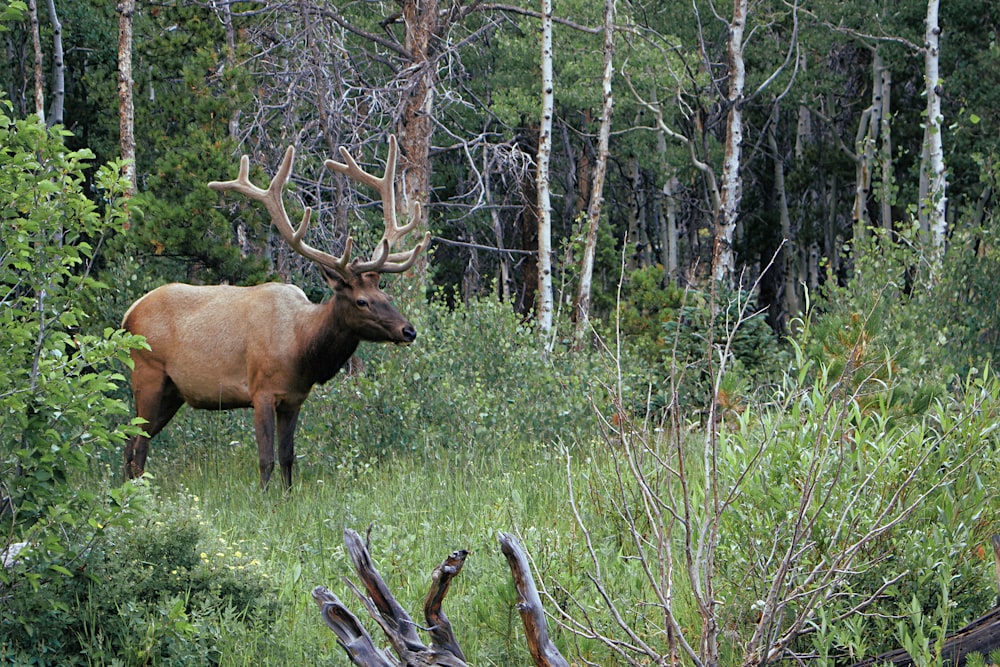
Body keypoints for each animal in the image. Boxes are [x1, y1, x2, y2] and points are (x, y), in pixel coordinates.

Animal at [121, 137, 430, 490]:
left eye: (384, 294)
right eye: (361, 301)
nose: (408, 330)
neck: (302, 349)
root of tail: (128, 315)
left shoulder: (294, 398)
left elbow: (287, 458)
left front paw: (286, 495)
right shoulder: (261, 391)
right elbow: (265, 458)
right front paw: (265, 497)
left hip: (173, 391)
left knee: (129, 441)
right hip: (148, 375)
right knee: (138, 446)